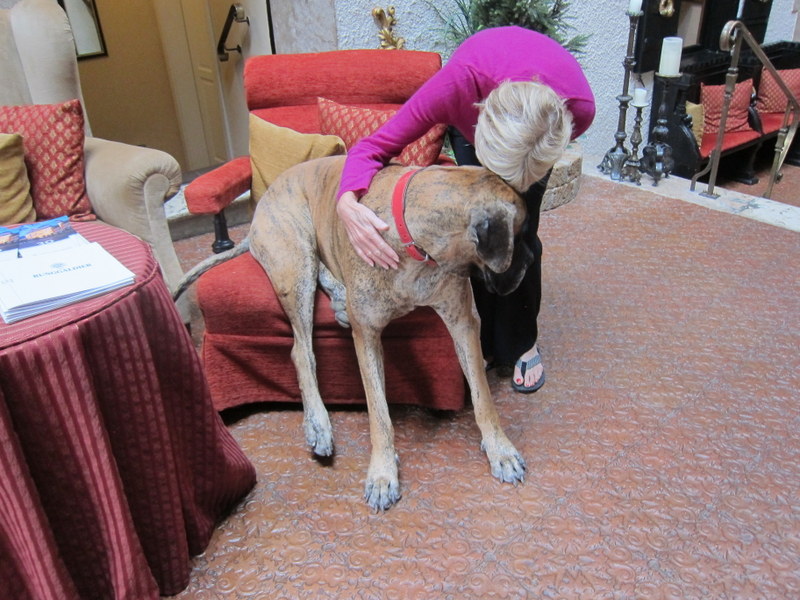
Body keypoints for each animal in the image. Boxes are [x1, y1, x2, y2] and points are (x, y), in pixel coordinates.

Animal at [176, 155, 531, 511]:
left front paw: (500, 449)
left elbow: (482, 396)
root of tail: (259, 209)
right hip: (296, 256)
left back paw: (339, 298)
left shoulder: (462, 321)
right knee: (300, 350)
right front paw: (383, 473)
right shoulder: (368, 336)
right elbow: (379, 413)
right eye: (519, 234)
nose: (529, 260)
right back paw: (318, 423)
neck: (413, 240)